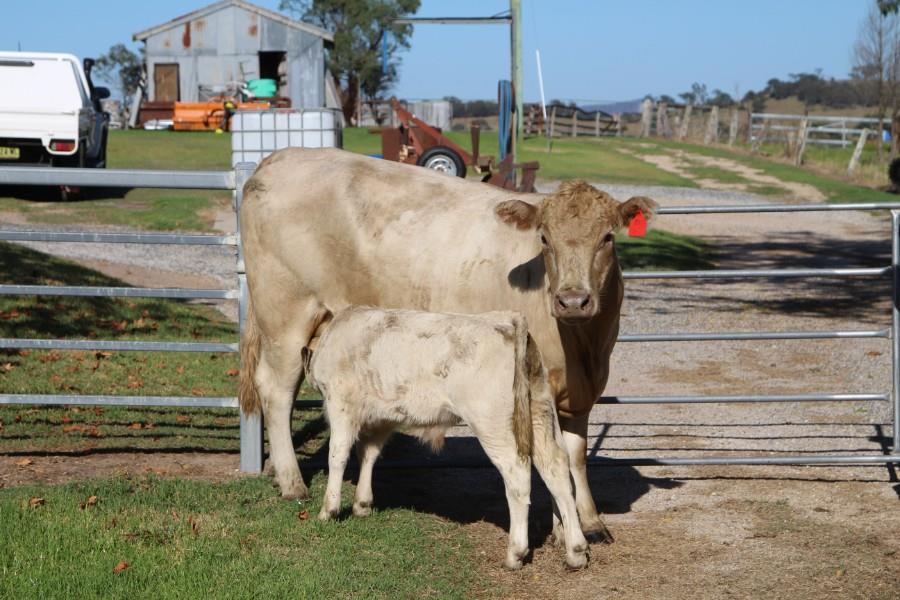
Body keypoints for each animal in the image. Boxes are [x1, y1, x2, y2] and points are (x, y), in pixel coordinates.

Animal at [239, 147, 656, 541]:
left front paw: (590, 522)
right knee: (277, 390)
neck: (584, 347)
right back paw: (292, 482)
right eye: (544, 239)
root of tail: (282, 157)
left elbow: (576, 455)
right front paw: (561, 528)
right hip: (285, 314)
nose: (572, 300)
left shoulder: (583, 389)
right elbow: (554, 456)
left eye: (607, 237)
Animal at [306, 307, 589, 569]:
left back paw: (515, 553)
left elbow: (338, 455)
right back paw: (576, 551)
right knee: (556, 468)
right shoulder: (379, 418)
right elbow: (368, 455)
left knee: (517, 475)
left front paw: (329, 509)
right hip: (540, 412)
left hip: (493, 424)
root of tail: (507, 318)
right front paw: (362, 505)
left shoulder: (341, 402)